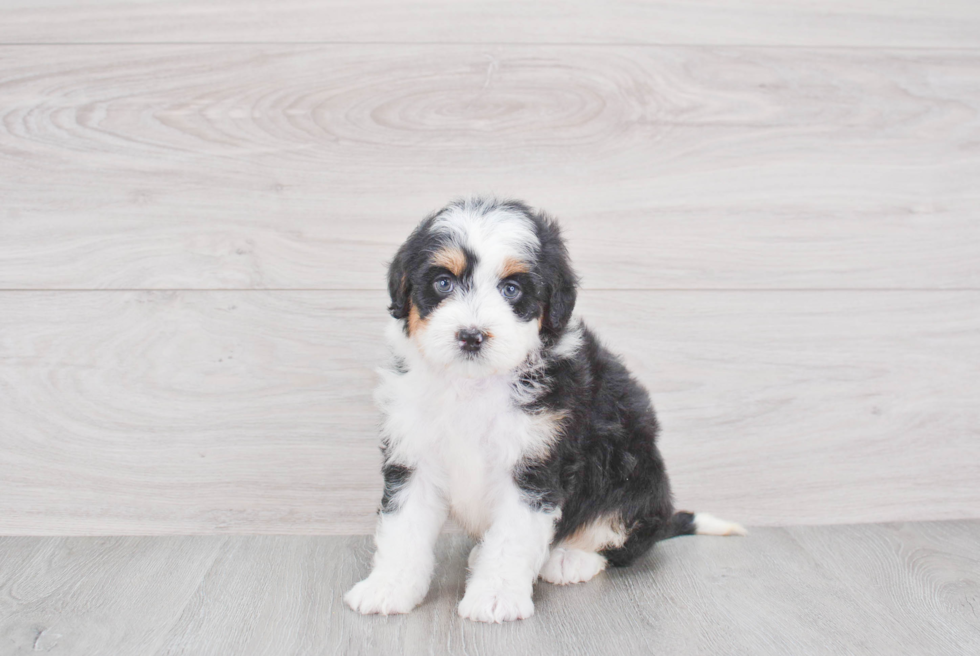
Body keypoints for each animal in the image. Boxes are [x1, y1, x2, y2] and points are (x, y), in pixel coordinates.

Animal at [344, 197, 744, 624]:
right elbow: (402, 527)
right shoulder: (413, 452)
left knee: (618, 534)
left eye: (512, 289)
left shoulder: (537, 462)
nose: (471, 336)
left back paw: (570, 558)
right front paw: (388, 588)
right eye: (443, 283)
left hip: (636, 471)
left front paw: (495, 597)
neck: (474, 384)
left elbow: (513, 537)